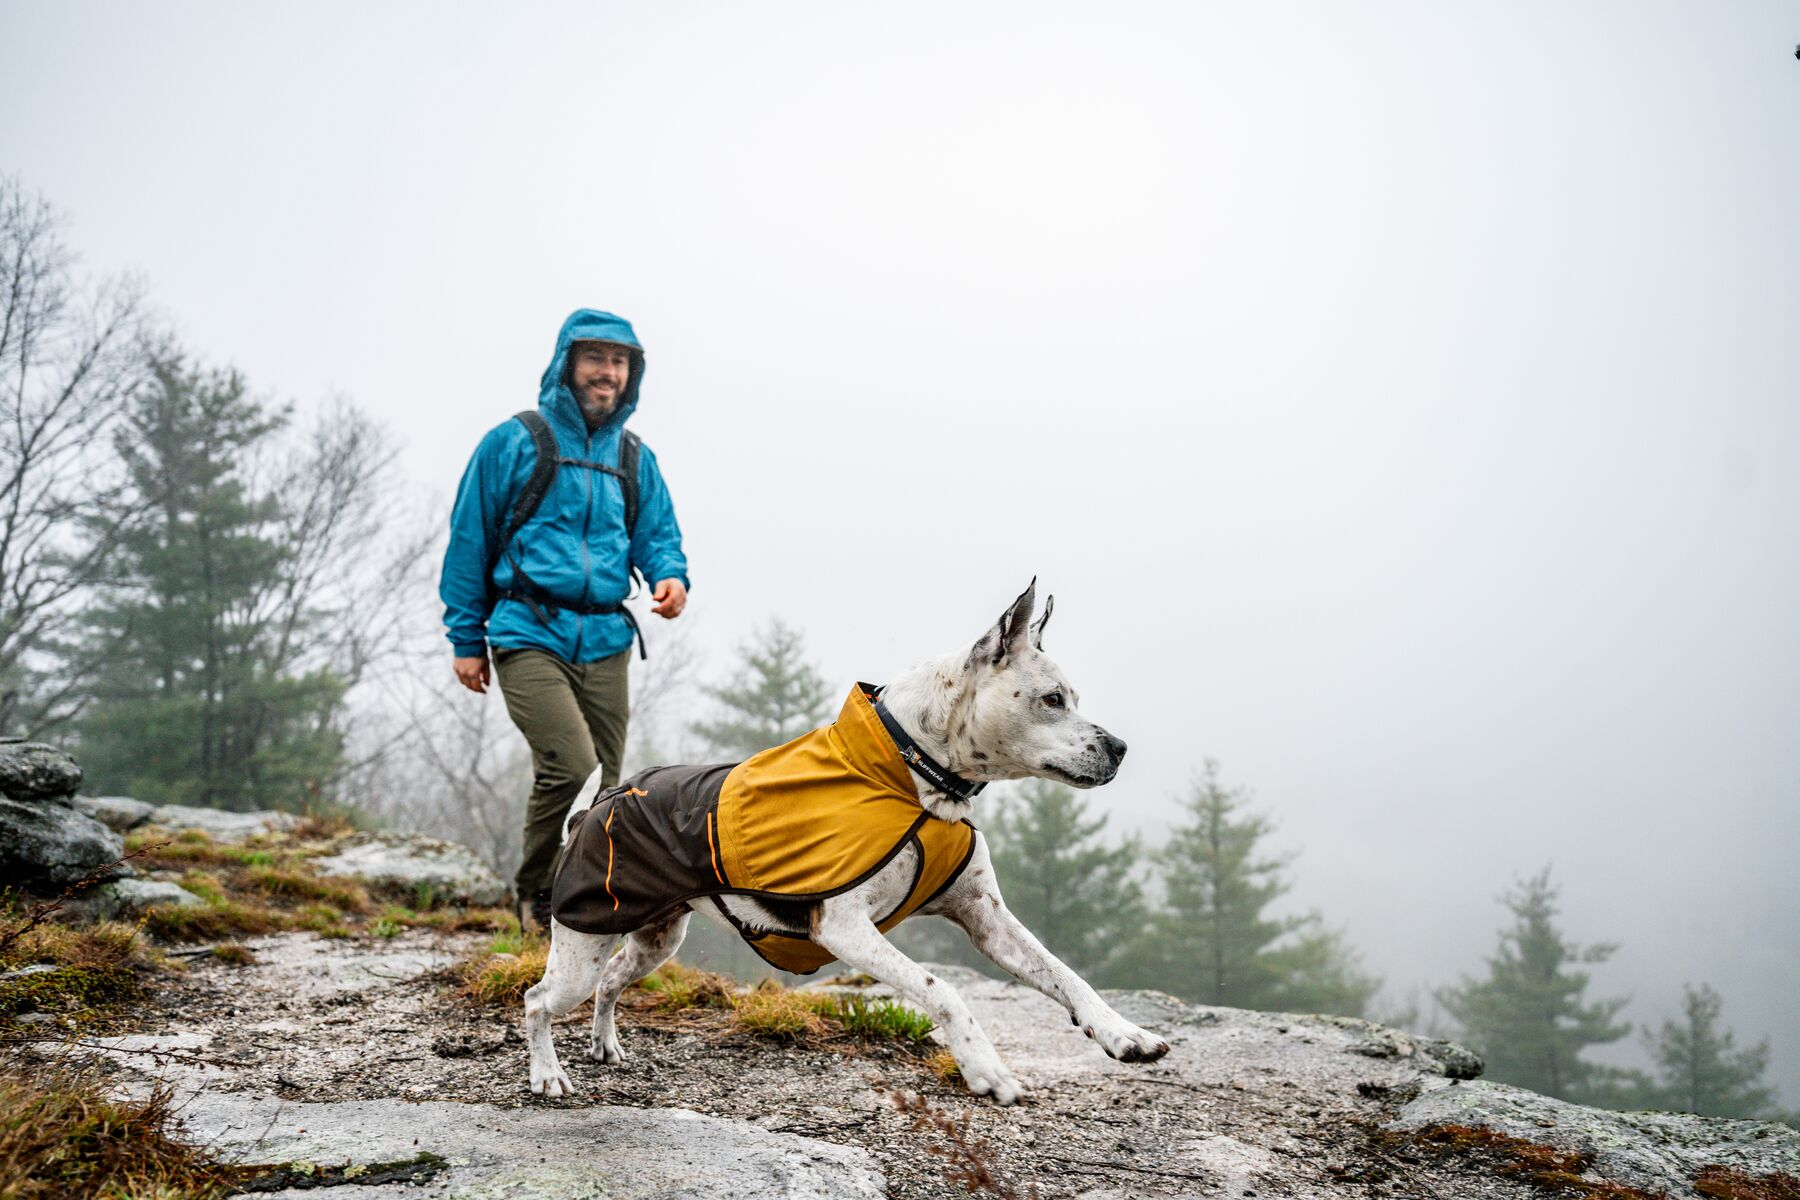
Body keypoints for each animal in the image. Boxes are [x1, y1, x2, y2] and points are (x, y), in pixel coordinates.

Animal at [525, 582, 1166, 1108]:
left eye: (1072, 697)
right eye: (1051, 699)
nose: (1120, 748)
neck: (916, 777)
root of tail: (593, 807)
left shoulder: (988, 920)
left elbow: (1065, 974)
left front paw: (1123, 1033)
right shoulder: (846, 928)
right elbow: (944, 989)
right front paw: (986, 1068)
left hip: (655, 939)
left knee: (610, 982)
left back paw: (604, 1045)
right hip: (582, 946)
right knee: (538, 999)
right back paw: (547, 1076)